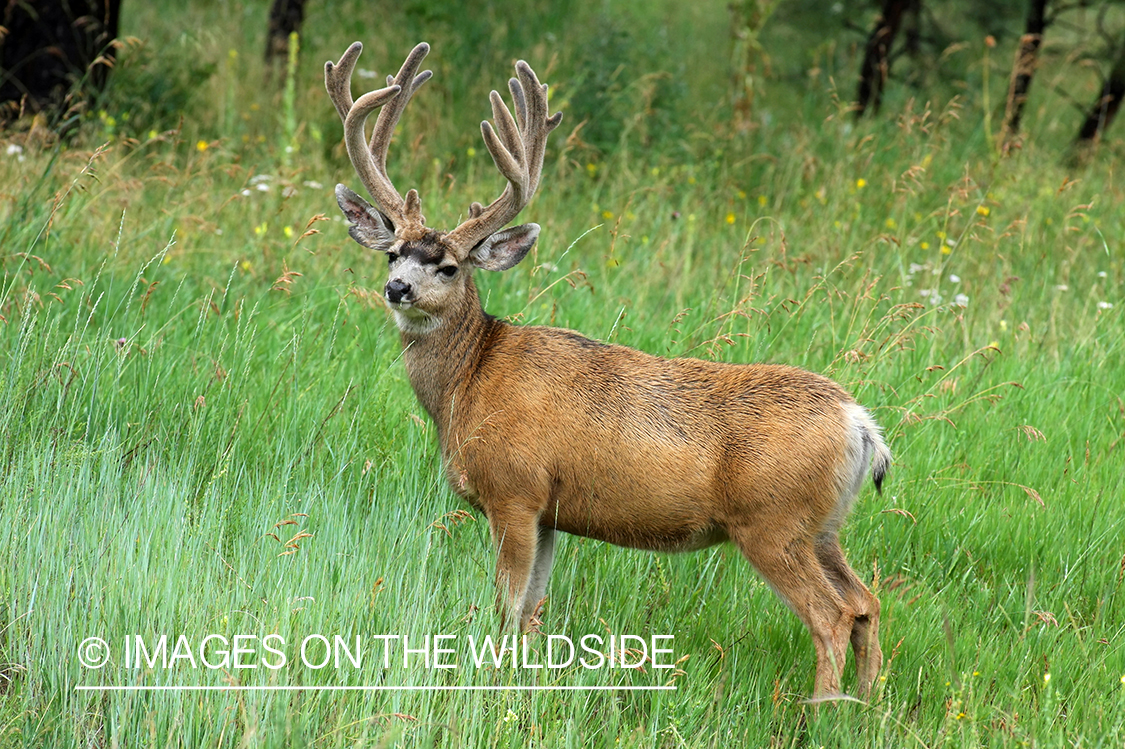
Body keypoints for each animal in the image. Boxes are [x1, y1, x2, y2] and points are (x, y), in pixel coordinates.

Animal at [328, 39, 895, 692]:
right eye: (393, 252)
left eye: (448, 266)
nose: (397, 288)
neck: (466, 384)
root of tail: (861, 424)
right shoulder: (549, 511)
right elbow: (532, 612)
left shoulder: (514, 490)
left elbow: (506, 606)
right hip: (823, 526)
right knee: (866, 604)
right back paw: (863, 706)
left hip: (773, 522)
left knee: (831, 616)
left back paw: (821, 708)